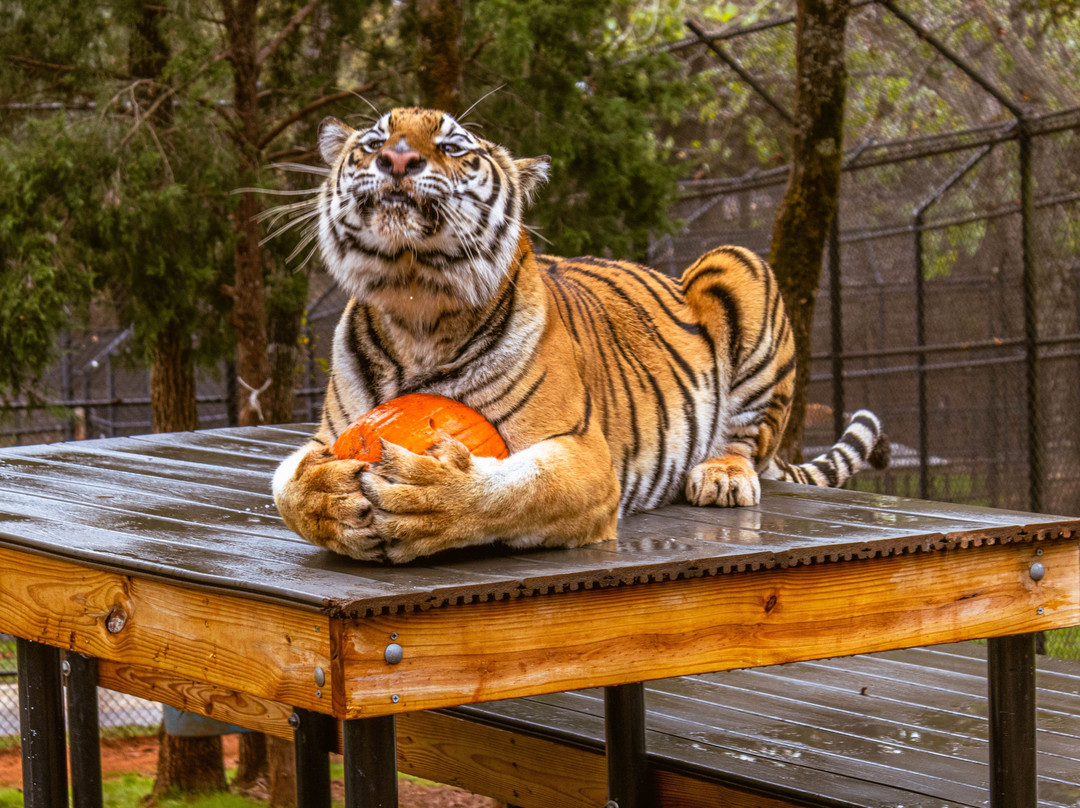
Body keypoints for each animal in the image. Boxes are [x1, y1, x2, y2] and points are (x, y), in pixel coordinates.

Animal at [272, 107, 889, 564]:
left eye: (453, 147)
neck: (416, 306)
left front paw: (434, 498)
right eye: (374, 141)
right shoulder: (326, 434)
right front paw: (323, 499)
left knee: (746, 441)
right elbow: (285, 484)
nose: (397, 157)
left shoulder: (586, 453)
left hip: (736, 264)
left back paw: (721, 477)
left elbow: (519, 488)